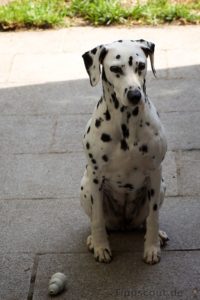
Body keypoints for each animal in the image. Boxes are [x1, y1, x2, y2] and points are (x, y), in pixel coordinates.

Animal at [80, 39, 168, 264]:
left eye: (141, 65)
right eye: (115, 69)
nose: (135, 95)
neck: (127, 123)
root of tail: (124, 224)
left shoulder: (155, 173)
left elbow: (154, 217)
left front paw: (152, 247)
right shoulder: (95, 178)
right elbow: (97, 219)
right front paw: (101, 246)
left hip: (161, 187)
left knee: (145, 221)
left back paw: (157, 235)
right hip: (85, 187)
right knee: (99, 221)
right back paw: (93, 239)